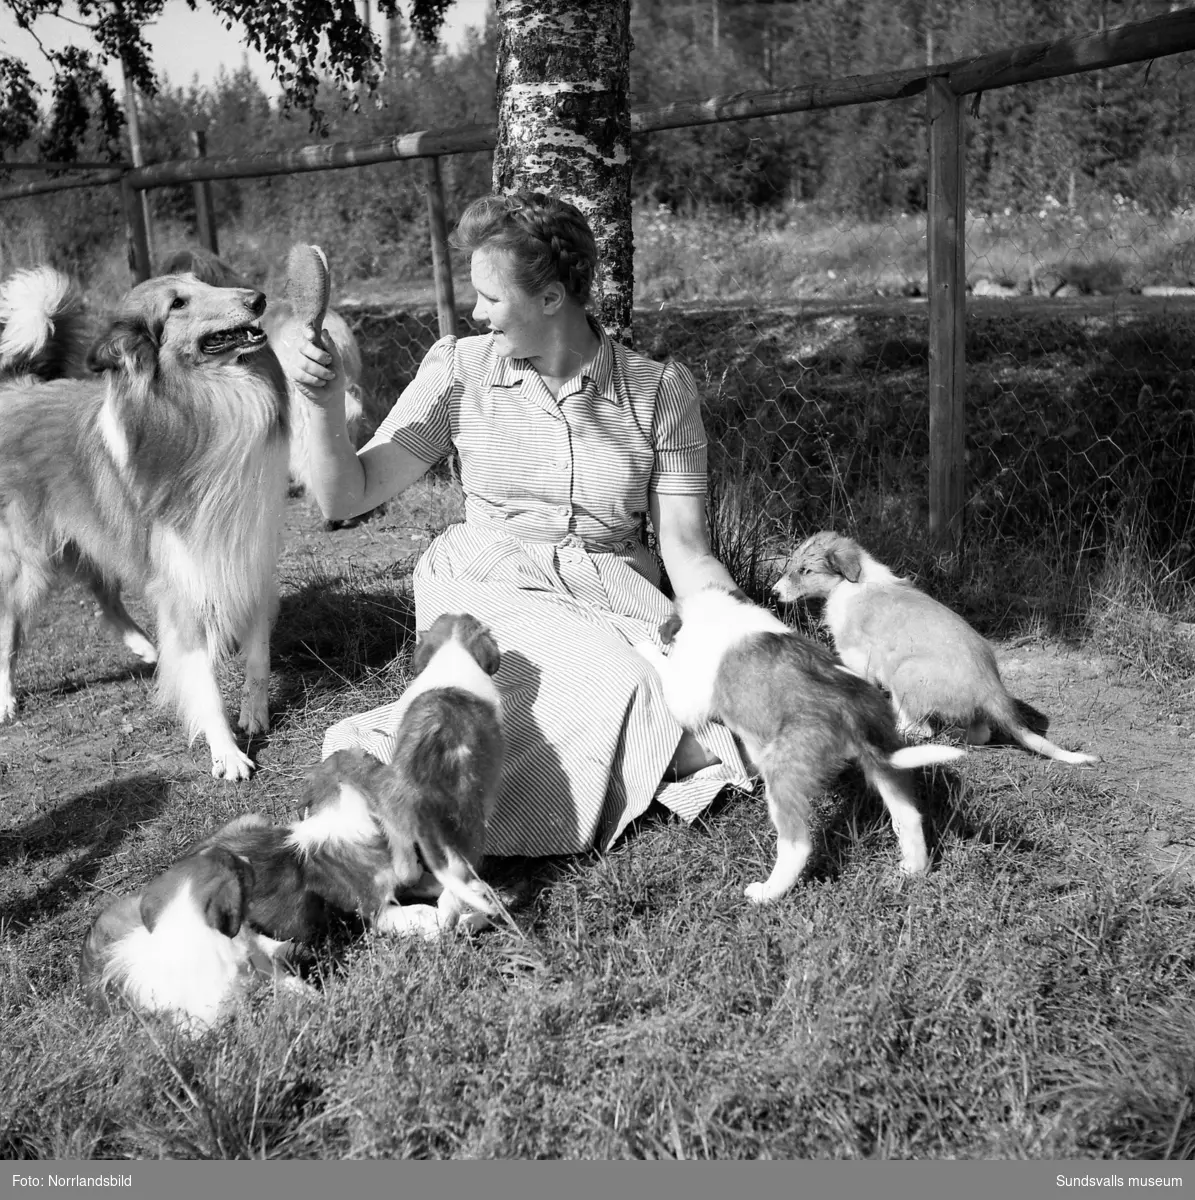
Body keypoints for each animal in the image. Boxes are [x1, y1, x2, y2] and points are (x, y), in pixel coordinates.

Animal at [0, 268, 289, 777]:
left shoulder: (247, 554)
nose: (258, 298)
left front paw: (255, 714)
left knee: (104, 600)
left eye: (203, 282)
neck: (209, 402)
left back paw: (148, 649)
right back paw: (7, 702)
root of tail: (18, 389)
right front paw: (227, 754)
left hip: (98, 539)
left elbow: (258, 653)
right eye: (177, 303)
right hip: (29, 562)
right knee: (9, 629)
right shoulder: (182, 579)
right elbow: (203, 680)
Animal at [772, 530, 1103, 763]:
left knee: (921, 729)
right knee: (980, 733)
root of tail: (992, 690)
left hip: (904, 672)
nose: (773, 594)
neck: (850, 582)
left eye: (805, 571)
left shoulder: (858, 659)